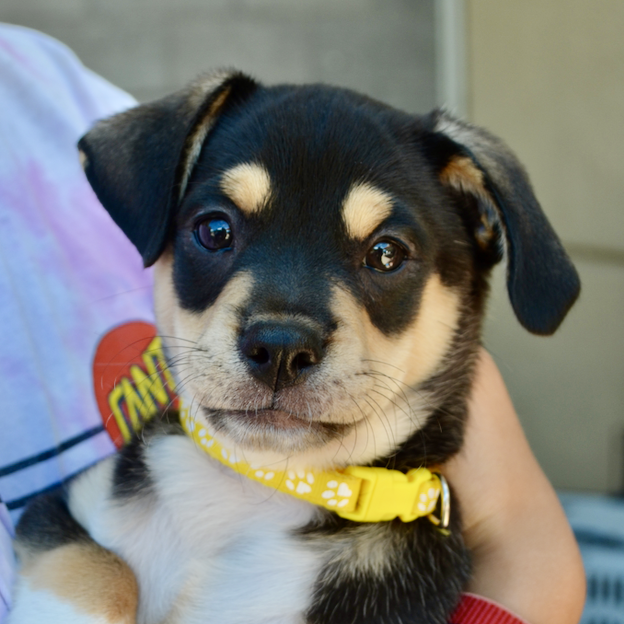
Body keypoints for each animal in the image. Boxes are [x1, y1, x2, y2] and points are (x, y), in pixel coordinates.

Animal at [8, 72, 580, 624]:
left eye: (387, 254)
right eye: (215, 230)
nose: (280, 349)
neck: (257, 486)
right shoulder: (61, 508)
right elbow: (101, 566)